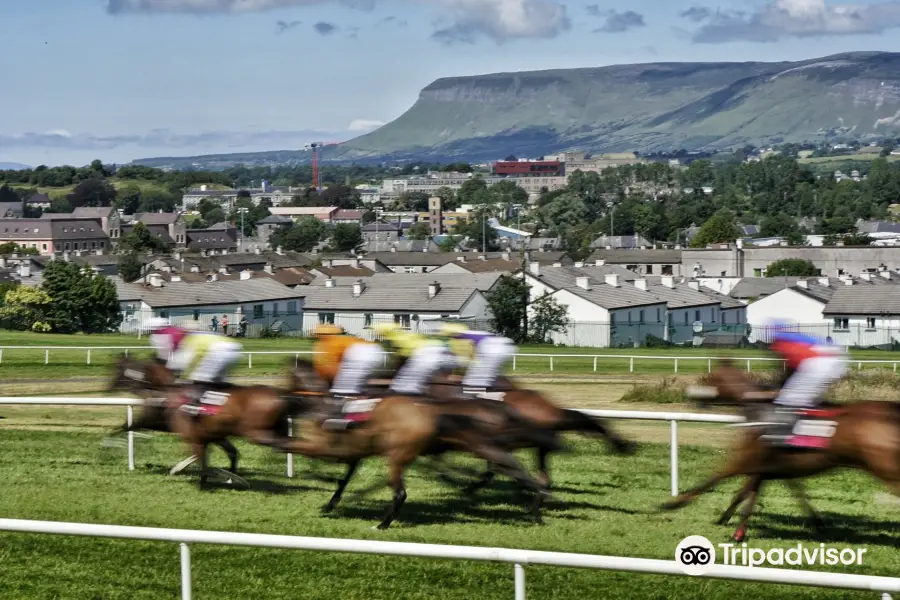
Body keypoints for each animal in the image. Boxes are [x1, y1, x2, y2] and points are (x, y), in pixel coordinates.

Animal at [660, 358, 900, 540]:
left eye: (709, 377)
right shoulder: (773, 467)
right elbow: (756, 491)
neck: (762, 414)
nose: (693, 398)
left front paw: (674, 503)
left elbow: (718, 478)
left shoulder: (748, 461)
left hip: (884, 467)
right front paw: (734, 526)